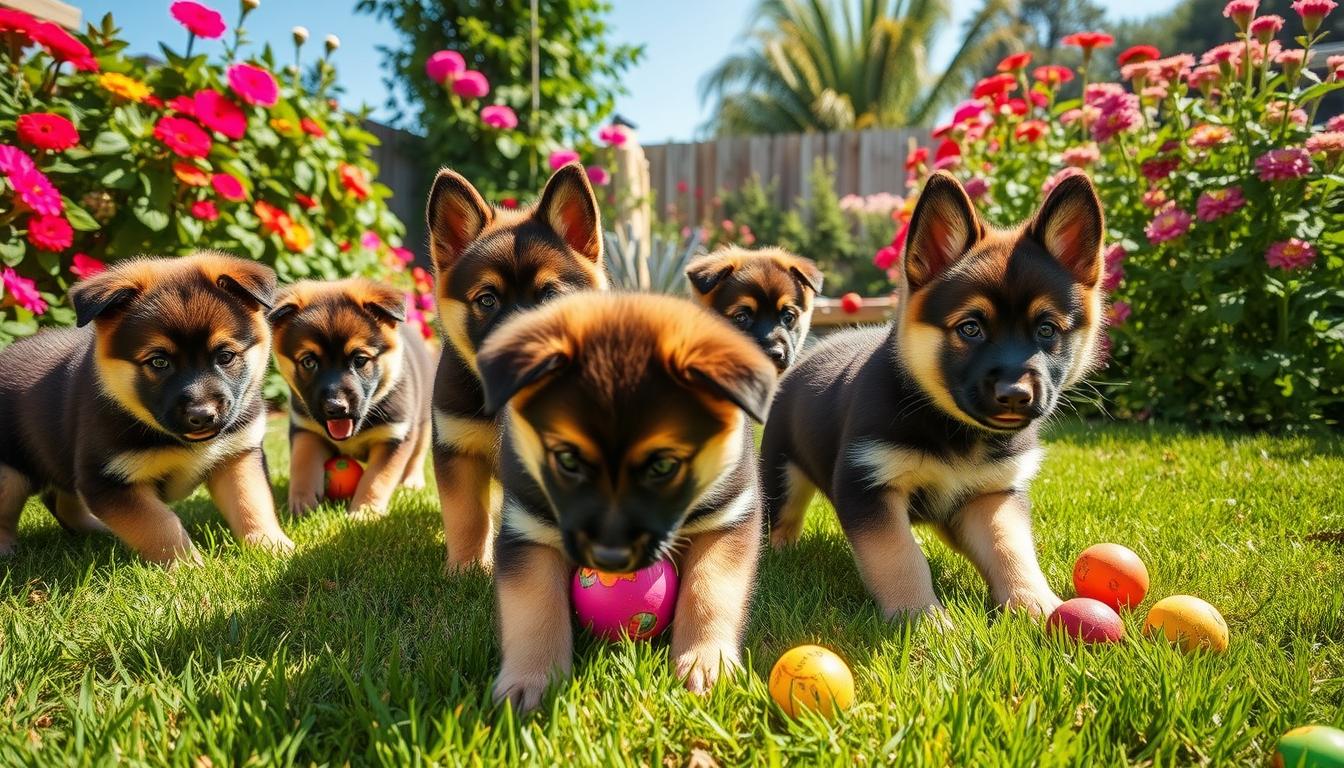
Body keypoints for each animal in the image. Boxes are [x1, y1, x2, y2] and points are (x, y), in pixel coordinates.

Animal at [0, 252, 291, 564]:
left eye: (225, 356)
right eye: (159, 362)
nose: (202, 416)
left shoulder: (238, 454)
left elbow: (252, 503)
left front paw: (272, 547)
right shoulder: (107, 479)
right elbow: (159, 525)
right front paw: (186, 565)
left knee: (61, 500)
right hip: (9, 476)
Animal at [270, 278, 438, 516]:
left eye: (359, 360)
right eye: (309, 362)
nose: (335, 407)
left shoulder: (394, 436)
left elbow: (376, 479)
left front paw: (364, 511)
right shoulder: (306, 430)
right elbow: (303, 464)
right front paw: (301, 504)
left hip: (423, 424)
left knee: (417, 454)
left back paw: (412, 482)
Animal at [475, 291, 779, 710]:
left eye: (664, 466)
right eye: (567, 461)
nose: (611, 560)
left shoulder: (728, 516)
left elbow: (710, 590)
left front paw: (705, 661)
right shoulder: (527, 526)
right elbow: (533, 607)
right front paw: (530, 679)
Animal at [763, 171, 1107, 621]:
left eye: (1047, 330)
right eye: (970, 328)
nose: (1015, 395)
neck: (952, 428)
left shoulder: (993, 495)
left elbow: (1011, 550)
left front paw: (1036, 604)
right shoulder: (870, 485)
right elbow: (898, 556)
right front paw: (920, 617)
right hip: (781, 475)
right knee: (780, 519)